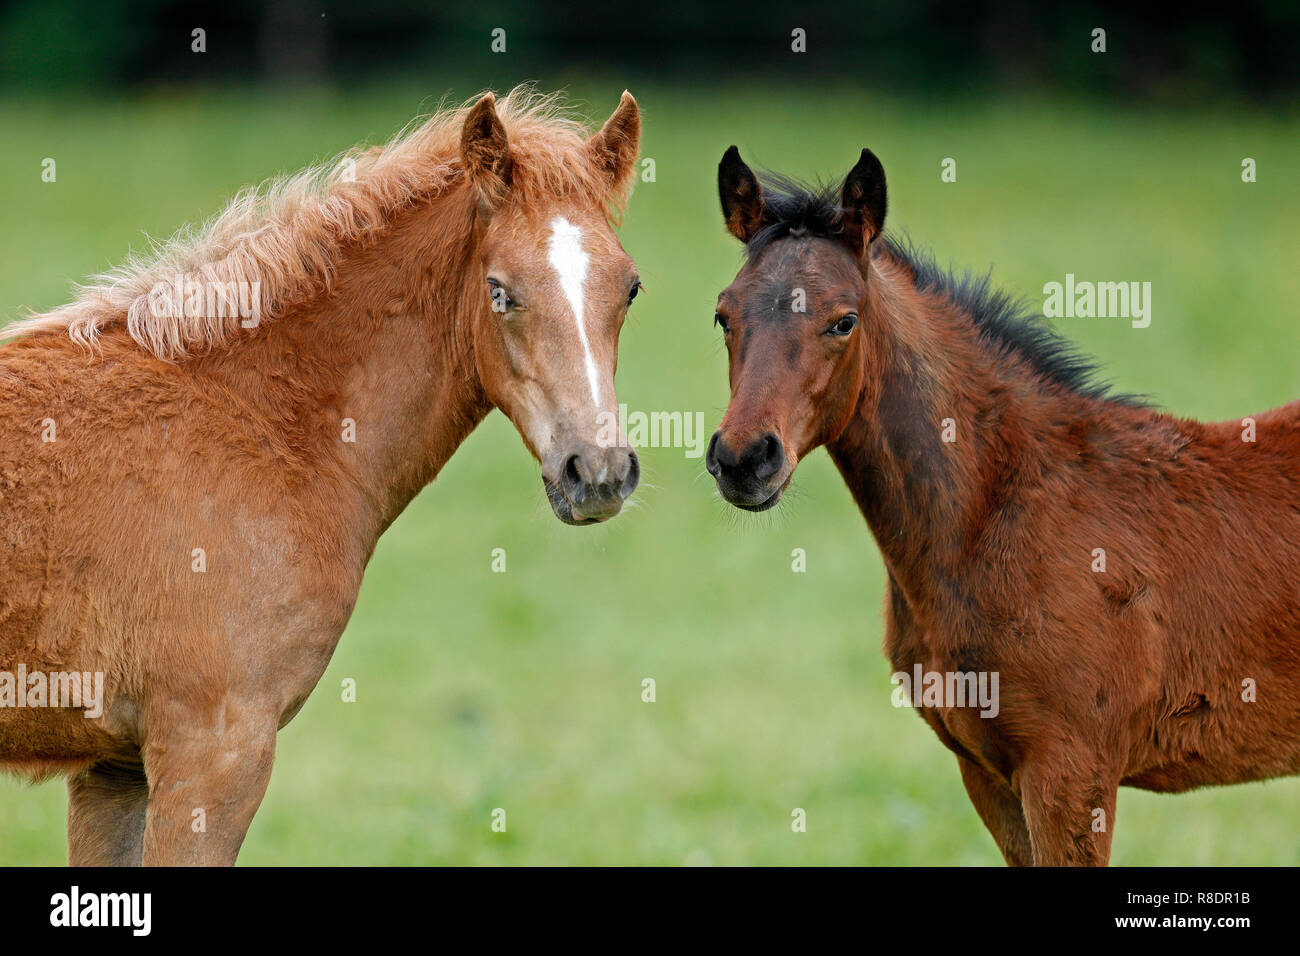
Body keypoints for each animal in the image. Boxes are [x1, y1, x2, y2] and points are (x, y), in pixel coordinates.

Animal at [0, 91, 644, 868]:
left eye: (630, 288)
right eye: (500, 292)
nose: (597, 472)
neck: (262, 424)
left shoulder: (112, 768)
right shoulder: (214, 751)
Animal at [707, 147, 1300, 868]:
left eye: (844, 321)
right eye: (724, 315)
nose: (744, 459)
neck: (1000, 512)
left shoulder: (1071, 770)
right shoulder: (986, 772)